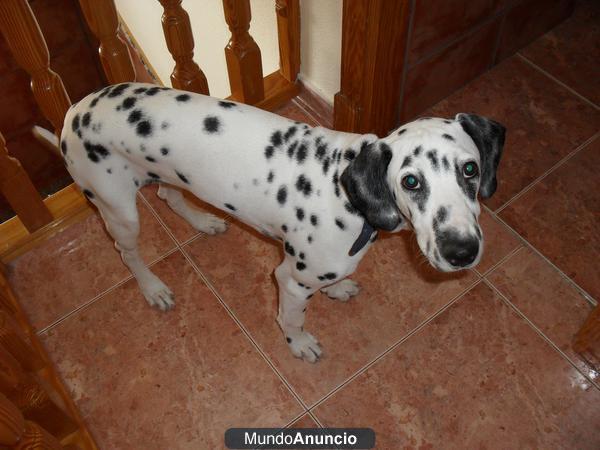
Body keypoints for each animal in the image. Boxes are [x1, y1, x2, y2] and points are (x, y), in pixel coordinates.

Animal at [32, 82, 502, 364]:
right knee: (126, 252)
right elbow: (292, 319)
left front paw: (337, 290)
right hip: (119, 211)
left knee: (168, 196)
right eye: (411, 181)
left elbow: (331, 284)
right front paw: (300, 344)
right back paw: (153, 288)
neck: (346, 193)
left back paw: (202, 222)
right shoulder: (289, 280)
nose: (462, 251)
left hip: (165, 176)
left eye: (470, 170)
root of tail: (72, 112)